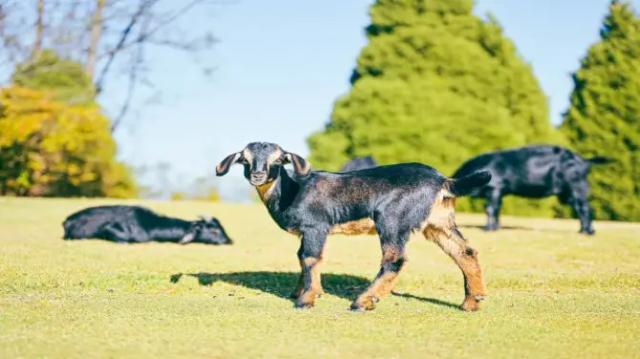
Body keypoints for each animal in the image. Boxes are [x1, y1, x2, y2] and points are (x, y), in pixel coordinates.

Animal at [215, 143, 490, 312]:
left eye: (278, 160)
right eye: (245, 160)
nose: (258, 175)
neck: (291, 190)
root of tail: (443, 180)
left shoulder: (316, 225)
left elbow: (310, 257)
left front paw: (306, 299)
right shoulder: (308, 232)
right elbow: (301, 257)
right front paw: (300, 292)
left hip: (393, 218)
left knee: (394, 259)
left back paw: (364, 301)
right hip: (438, 222)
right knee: (464, 252)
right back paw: (472, 301)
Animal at [452, 146, 612, 236]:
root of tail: (585, 160)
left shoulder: (495, 188)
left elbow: (490, 209)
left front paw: (488, 229)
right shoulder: (500, 192)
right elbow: (497, 209)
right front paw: (496, 227)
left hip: (576, 187)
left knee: (585, 208)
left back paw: (587, 232)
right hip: (568, 193)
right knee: (580, 208)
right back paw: (583, 230)